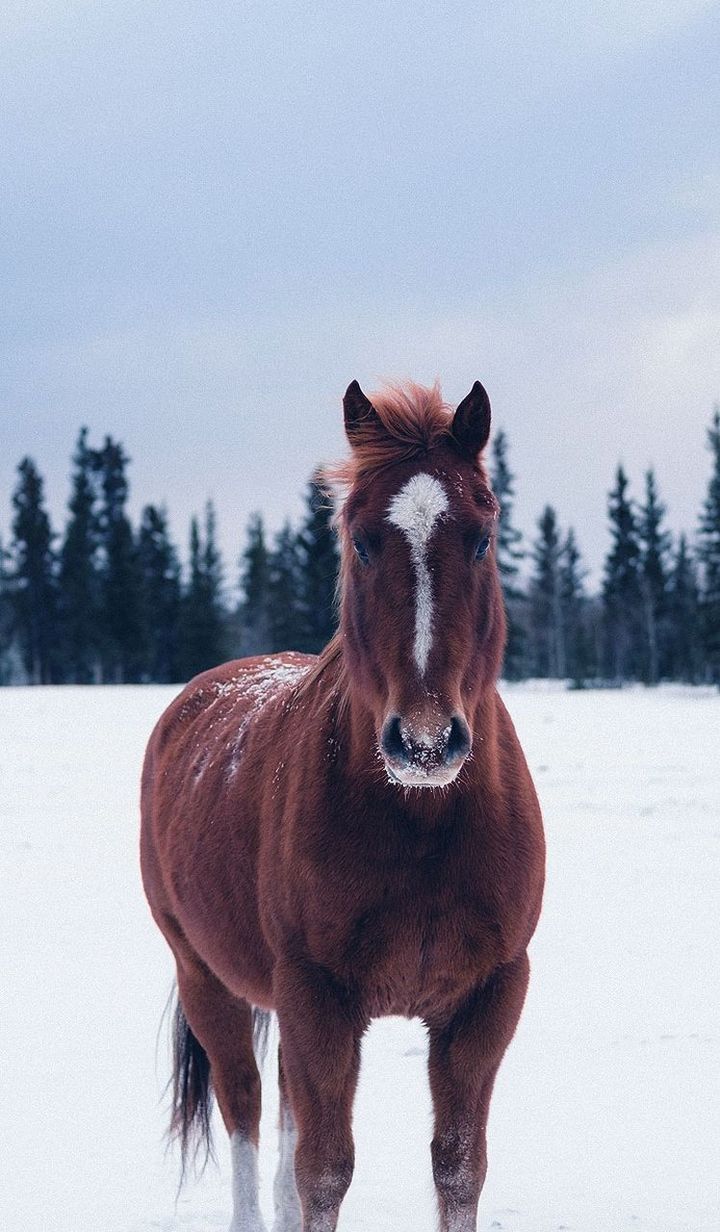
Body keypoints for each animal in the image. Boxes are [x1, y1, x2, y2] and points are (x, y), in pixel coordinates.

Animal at [139, 376, 544, 1232]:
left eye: (484, 537)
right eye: (360, 540)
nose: (425, 741)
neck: (422, 824)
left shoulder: (487, 1000)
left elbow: (458, 1169)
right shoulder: (318, 997)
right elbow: (325, 1171)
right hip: (206, 978)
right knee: (248, 1109)